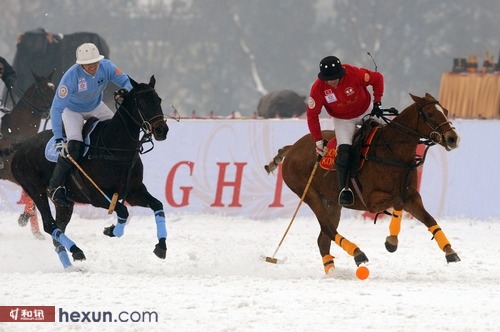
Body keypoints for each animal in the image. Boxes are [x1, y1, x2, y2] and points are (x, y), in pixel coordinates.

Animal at [9, 76, 169, 272]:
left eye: (159, 100)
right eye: (144, 102)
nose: (162, 130)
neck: (116, 147)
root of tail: (20, 147)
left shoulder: (134, 192)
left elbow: (157, 205)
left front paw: (161, 246)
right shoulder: (97, 195)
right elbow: (123, 211)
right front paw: (111, 230)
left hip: (64, 203)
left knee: (58, 230)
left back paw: (69, 264)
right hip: (35, 188)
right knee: (49, 224)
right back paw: (77, 251)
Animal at [266, 93, 460, 274]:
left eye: (446, 111)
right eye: (430, 114)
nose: (453, 138)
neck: (394, 153)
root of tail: (292, 147)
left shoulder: (412, 196)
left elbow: (429, 219)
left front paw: (450, 251)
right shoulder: (372, 201)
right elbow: (398, 201)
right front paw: (391, 241)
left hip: (331, 202)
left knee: (323, 238)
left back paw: (333, 271)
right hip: (309, 194)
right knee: (328, 229)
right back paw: (358, 253)